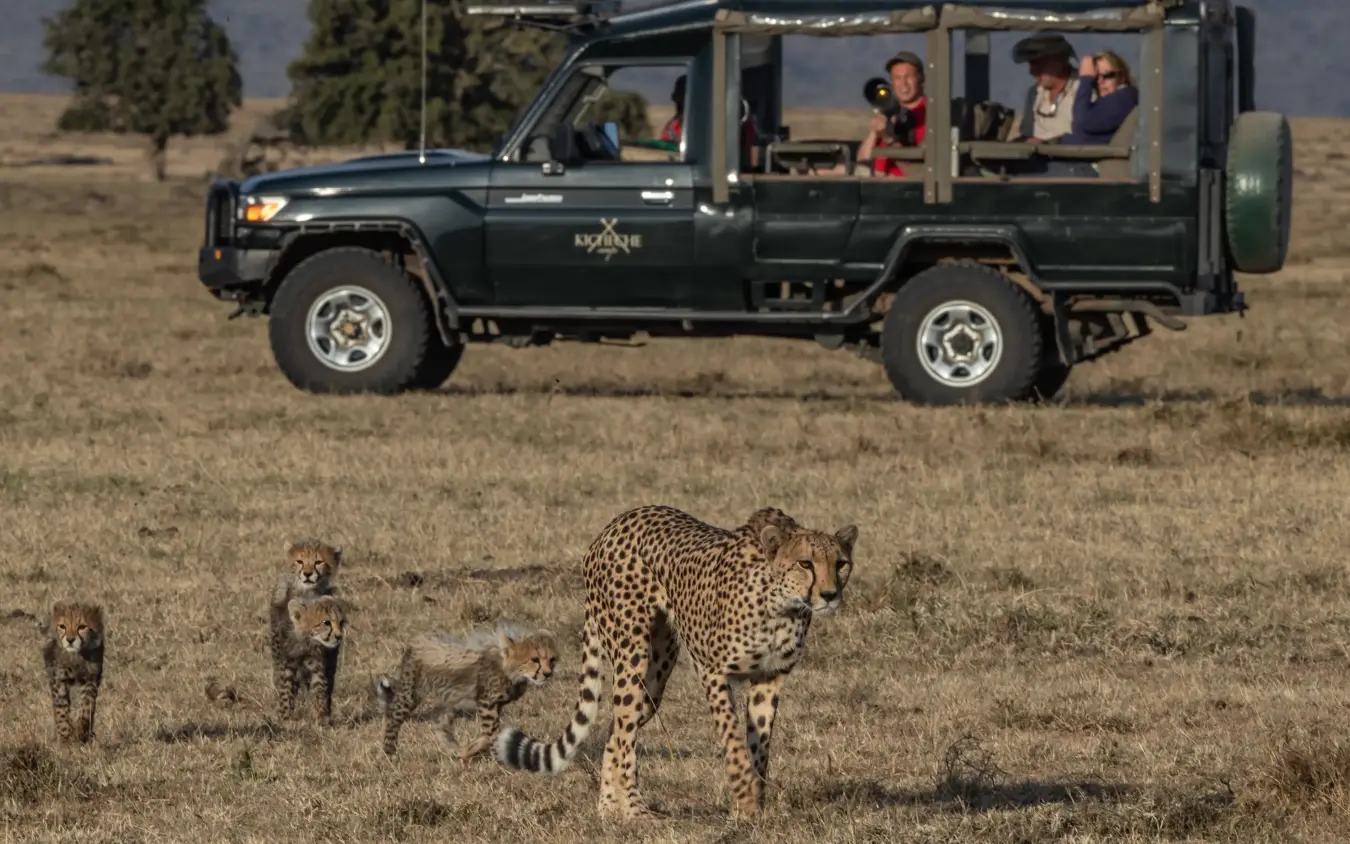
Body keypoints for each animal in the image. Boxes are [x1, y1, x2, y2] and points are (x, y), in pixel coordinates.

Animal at [42, 601, 106, 745]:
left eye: (82, 627)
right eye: (62, 626)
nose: (70, 640)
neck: (76, 656)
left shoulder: (91, 678)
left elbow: (87, 706)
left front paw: (81, 730)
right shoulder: (58, 680)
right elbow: (61, 711)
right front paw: (66, 737)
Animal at [274, 595, 347, 725]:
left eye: (341, 622)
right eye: (326, 622)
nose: (339, 636)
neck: (306, 643)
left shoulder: (317, 669)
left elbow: (319, 691)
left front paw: (321, 719)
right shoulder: (288, 666)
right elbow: (285, 692)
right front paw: (284, 719)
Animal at [375, 624, 558, 763]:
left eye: (552, 659)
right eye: (535, 659)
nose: (548, 674)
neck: (510, 670)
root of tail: (416, 640)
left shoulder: (496, 705)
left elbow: (487, 735)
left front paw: (467, 752)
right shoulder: (487, 704)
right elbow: (491, 734)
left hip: (446, 698)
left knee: (439, 724)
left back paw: (452, 749)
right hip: (411, 692)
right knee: (393, 714)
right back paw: (389, 752)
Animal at [492, 504, 858, 821]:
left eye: (841, 563)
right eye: (805, 564)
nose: (830, 595)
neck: (781, 605)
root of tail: (614, 524)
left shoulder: (770, 677)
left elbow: (759, 748)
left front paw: (753, 805)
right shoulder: (712, 671)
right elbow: (734, 743)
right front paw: (744, 803)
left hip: (654, 678)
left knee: (616, 729)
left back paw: (609, 808)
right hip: (632, 655)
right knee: (623, 731)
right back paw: (635, 812)